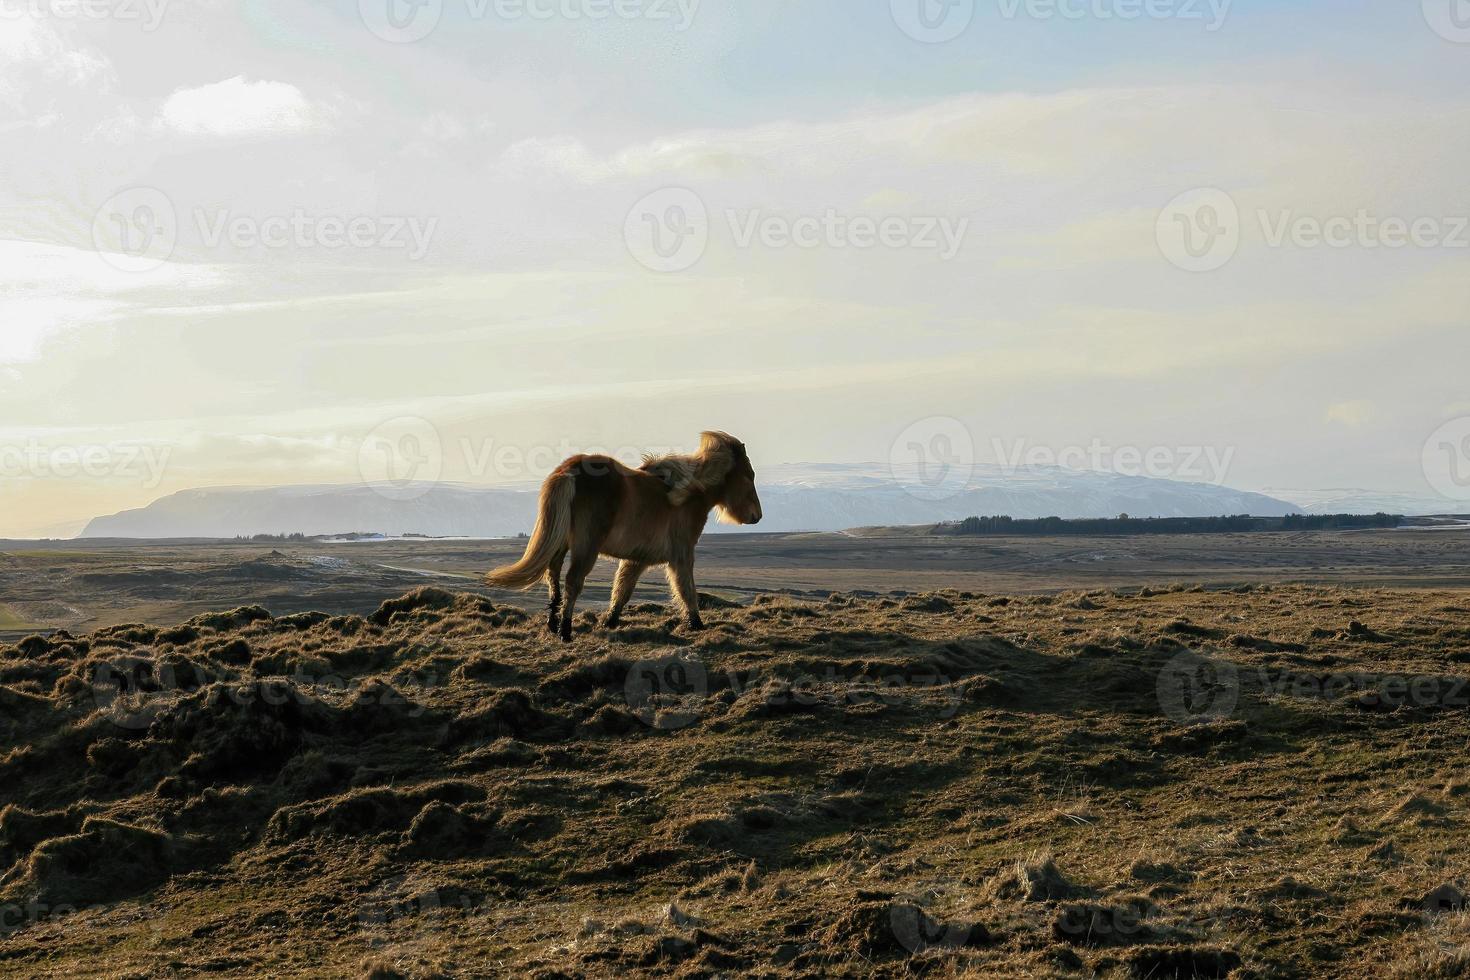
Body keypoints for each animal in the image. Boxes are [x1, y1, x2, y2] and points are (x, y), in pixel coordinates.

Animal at [488, 431, 764, 640]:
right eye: (748, 475)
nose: (757, 516)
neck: (687, 494)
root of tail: (569, 470)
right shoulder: (682, 556)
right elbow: (686, 589)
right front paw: (697, 624)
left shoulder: (637, 559)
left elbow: (622, 589)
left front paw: (609, 621)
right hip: (586, 546)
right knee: (573, 580)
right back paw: (565, 632)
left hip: (561, 541)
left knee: (553, 574)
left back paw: (553, 623)